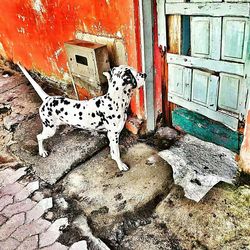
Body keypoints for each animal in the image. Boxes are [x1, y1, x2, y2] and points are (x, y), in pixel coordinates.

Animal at [17, 63, 146, 172]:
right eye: (134, 74)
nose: (144, 74)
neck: (114, 101)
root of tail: (48, 98)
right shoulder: (114, 135)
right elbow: (117, 154)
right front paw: (121, 165)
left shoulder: (111, 136)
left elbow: (113, 152)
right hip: (49, 129)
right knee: (39, 137)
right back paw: (42, 151)